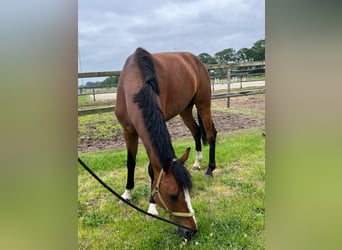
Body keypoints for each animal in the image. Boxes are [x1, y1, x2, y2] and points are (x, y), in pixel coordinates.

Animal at [115, 47, 216, 240]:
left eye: (189, 191)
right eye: (173, 195)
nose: (191, 231)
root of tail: (195, 59)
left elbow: (151, 170)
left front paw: (151, 207)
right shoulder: (128, 132)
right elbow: (130, 163)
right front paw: (127, 194)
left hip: (203, 104)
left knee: (211, 134)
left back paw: (209, 169)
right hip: (185, 109)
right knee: (196, 132)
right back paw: (197, 163)